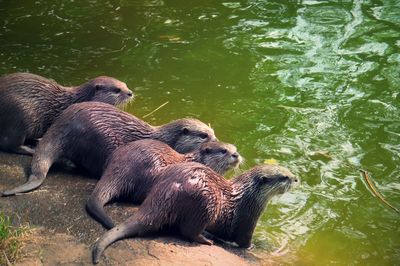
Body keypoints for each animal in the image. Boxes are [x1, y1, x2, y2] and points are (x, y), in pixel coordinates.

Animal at [1, 102, 217, 195]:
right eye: (204, 135)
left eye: (213, 132)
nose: (217, 140)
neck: (165, 139)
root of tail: (62, 126)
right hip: (102, 139)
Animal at [86, 139, 242, 229]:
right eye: (224, 151)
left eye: (235, 149)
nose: (236, 155)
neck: (199, 161)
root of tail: (121, 165)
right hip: (154, 169)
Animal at [91, 162, 296, 264]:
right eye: (284, 177)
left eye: (287, 170)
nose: (296, 178)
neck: (248, 196)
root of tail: (167, 190)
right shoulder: (248, 218)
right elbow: (244, 242)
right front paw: (257, 248)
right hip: (207, 201)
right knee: (188, 231)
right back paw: (206, 240)